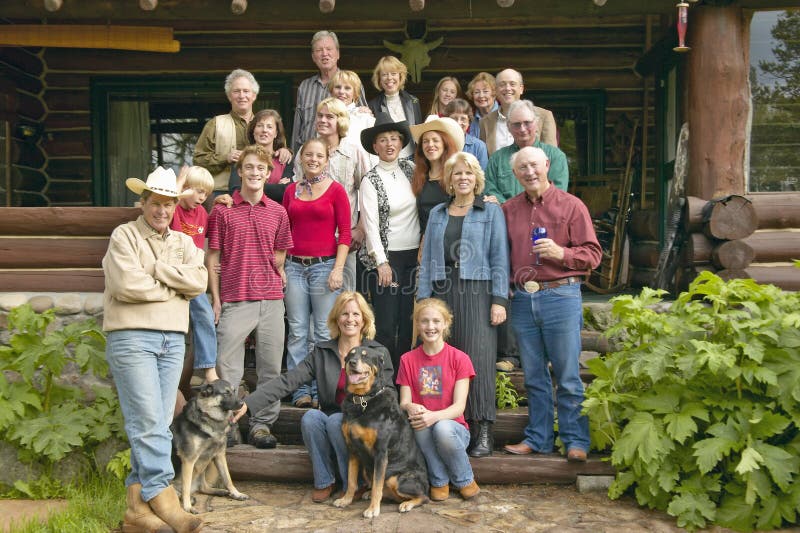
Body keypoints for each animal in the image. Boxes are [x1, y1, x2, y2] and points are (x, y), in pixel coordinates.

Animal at [172, 378, 250, 512]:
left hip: (204, 465)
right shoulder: (189, 460)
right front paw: (187, 507)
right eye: (226, 393)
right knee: (180, 490)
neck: (210, 417)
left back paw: (219, 491)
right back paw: (186, 498)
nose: (242, 404)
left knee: (203, 487)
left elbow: (228, 478)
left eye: (234, 391)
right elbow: (186, 486)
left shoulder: (219, 455)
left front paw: (236, 493)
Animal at [332, 344, 432, 516]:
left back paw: (406, 504)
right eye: (350, 355)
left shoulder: (380, 452)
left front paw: (373, 509)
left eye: (365, 356)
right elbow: (351, 480)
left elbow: (377, 484)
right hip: (367, 470)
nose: (352, 362)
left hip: (396, 478)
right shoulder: (352, 449)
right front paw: (346, 500)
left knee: (423, 496)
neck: (363, 400)